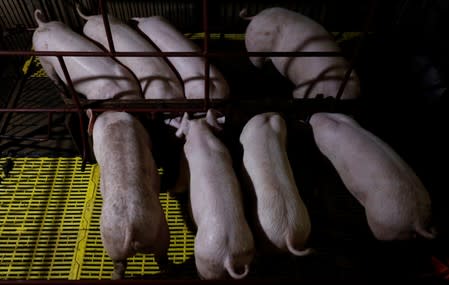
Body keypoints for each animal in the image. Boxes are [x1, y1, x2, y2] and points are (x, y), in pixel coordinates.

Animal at [87, 110, 170, 278]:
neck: (113, 119)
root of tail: (131, 226)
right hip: (159, 232)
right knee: (161, 259)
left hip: (114, 241)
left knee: (120, 266)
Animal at [174, 110, 254, 278]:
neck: (201, 136)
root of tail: (228, 257)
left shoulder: (183, 163)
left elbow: (181, 183)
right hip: (245, 252)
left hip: (204, 261)